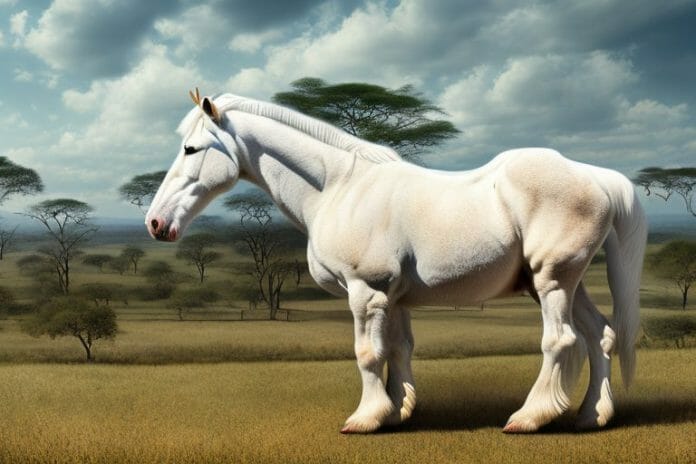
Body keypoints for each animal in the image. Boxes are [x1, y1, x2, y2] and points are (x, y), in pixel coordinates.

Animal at [146, 89, 647, 434]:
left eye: (191, 149)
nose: (155, 222)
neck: (339, 187)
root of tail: (596, 176)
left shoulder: (366, 292)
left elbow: (368, 354)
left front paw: (365, 419)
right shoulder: (395, 298)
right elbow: (399, 350)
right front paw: (397, 410)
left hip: (552, 283)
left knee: (561, 341)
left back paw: (529, 417)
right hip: (569, 284)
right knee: (600, 336)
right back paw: (591, 416)